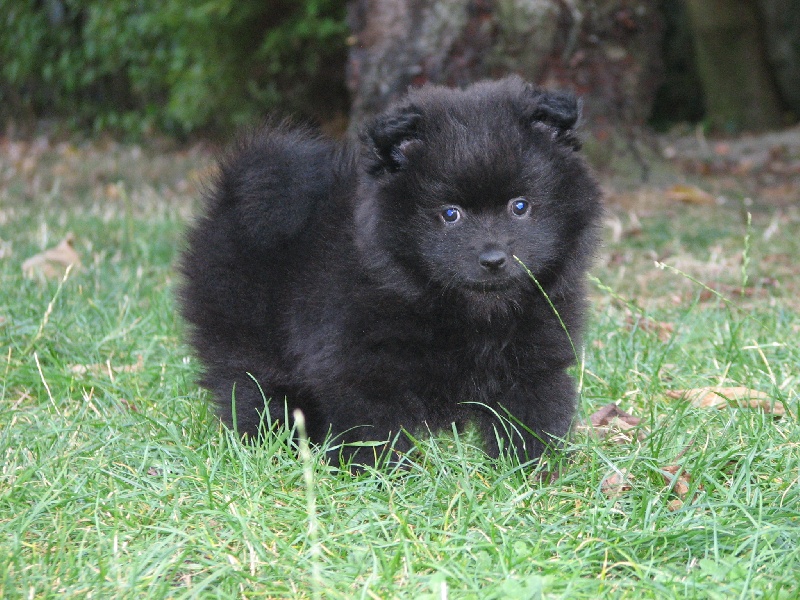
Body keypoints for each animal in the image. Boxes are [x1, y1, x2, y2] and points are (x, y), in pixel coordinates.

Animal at [180, 77, 600, 466]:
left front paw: (533, 469)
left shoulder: (535, 357)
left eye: (520, 206)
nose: (494, 258)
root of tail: (238, 189)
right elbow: (375, 427)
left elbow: (533, 414)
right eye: (450, 214)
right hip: (246, 335)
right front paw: (383, 475)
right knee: (251, 386)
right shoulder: (362, 365)